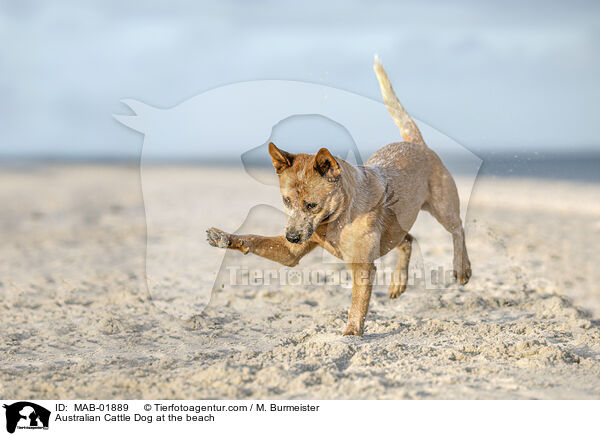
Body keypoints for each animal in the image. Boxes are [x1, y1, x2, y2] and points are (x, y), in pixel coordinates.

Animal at [209, 56, 472, 336]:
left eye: (311, 205)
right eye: (286, 201)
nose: (292, 236)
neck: (334, 219)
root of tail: (416, 144)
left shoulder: (362, 265)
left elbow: (357, 304)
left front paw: (351, 333)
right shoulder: (291, 253)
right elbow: (254, 238)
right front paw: (223, 238)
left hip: (442, 206)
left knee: (458, 229)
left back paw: (461, 268)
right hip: (396, 227)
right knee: (408, 239)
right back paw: (398, 282)